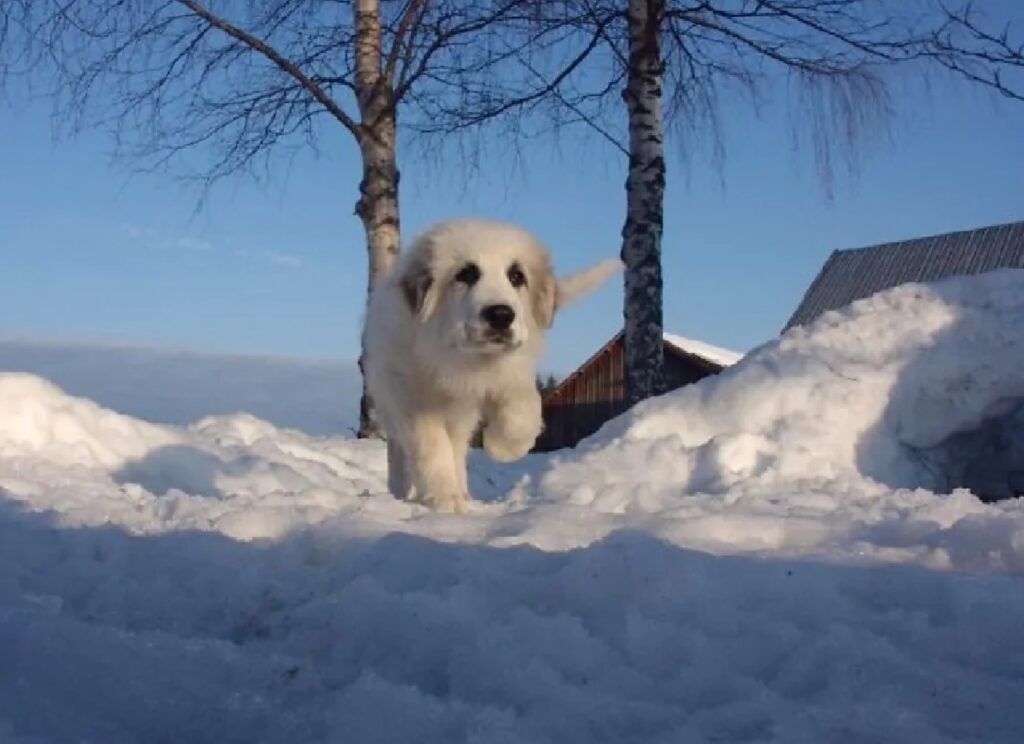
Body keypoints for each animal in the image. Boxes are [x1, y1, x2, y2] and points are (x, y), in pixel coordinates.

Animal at [366, 217, 622, 515]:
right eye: (466, 274)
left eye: (517, 276)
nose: (501, 315)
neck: (460, 360)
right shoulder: (409, 394)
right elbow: (431, 444)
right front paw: (444, 498)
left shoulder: (510, 372)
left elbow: (524, 412)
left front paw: (501, 447)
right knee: (404, 450)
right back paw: (406, 490)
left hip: (461, 418)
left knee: (457, 446)